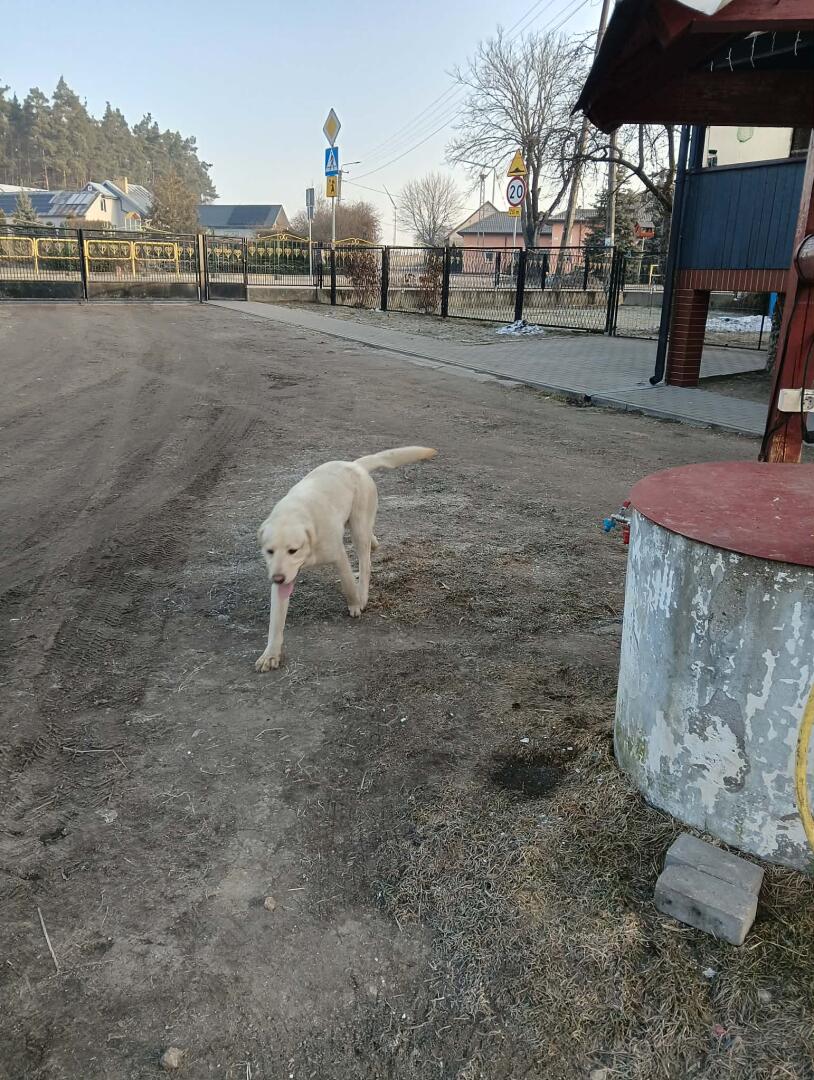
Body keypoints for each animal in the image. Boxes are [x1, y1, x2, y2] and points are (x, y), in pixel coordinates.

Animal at [255, 446, 437, 671]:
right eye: (269, 551)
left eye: (293, 550)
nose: (277, 579)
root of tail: (355, 464)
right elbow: (276, 621)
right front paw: (270, 654)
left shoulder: (338, 556)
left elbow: (349, 584)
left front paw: (355, 603)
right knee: (371, 541)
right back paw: (374, 543)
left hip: (358, 528)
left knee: (365, 563)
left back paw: (363, 592)